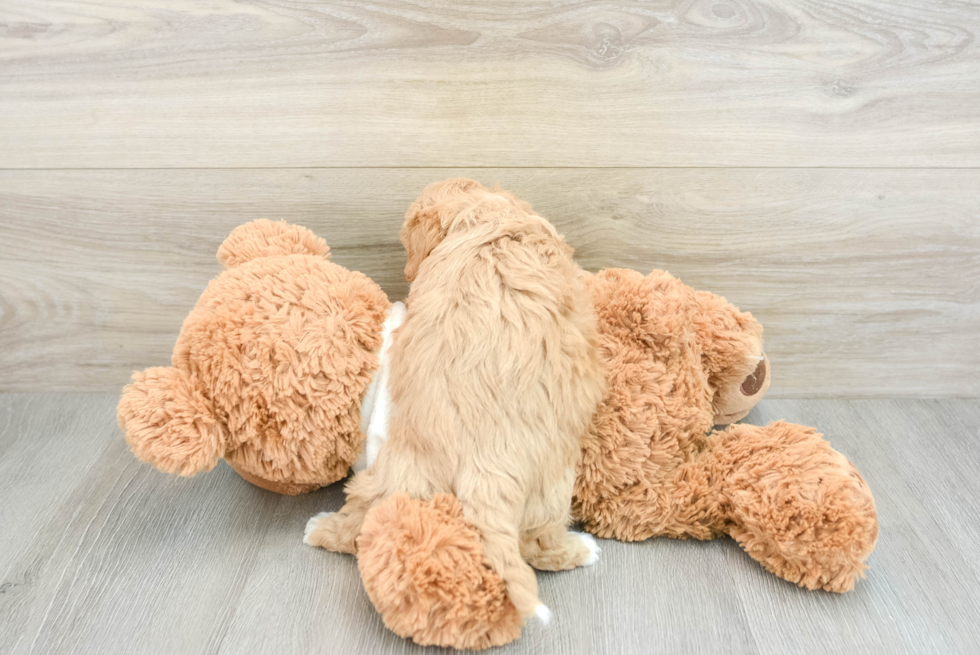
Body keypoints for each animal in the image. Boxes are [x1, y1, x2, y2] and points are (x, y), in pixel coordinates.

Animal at [306, 178, 604, 620]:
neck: (483, 214)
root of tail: (483, 466)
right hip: (554, 482)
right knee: (538, 545)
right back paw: (583, 549)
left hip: (397, 475)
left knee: (361, 521)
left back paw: (319, 528)